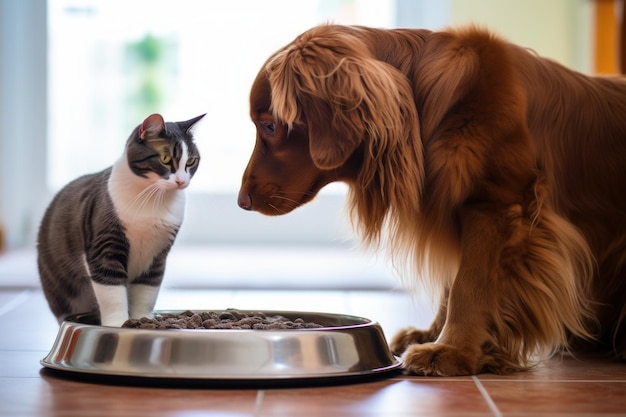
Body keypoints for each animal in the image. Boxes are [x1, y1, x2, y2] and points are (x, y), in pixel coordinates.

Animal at [36, 113, 204, 324]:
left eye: (191, 161)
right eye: (165, 159)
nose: (181, 181)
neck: (153, 198)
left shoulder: (158, 254)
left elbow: (147, 290)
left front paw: (142, 320)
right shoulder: (104, 247)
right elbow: (112, 292)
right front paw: (118, 324)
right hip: (59, 288)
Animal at [236, 24, 620, 376]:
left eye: (270, 125)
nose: (241, 201)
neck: (426, 107)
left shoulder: (497, 204)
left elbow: (468, 284)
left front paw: (452, 350)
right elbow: (452, 283)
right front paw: (432, 335)